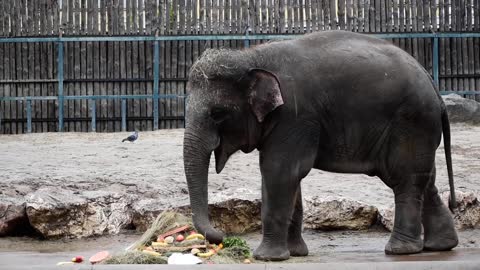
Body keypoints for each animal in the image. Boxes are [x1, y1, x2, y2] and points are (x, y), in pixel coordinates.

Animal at [183, 30, 458, 262]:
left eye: (218, 114)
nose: (222, 236)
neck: (251, 56)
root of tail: (435, 89)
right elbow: (288, 178)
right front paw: (295, 254)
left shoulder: (295, 116)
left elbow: (279, 172)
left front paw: (267, 258)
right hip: (420, 129)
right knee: (425, 179)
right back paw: (440, 246)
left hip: (411, 122)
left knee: (405, 179)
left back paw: (400, 250)